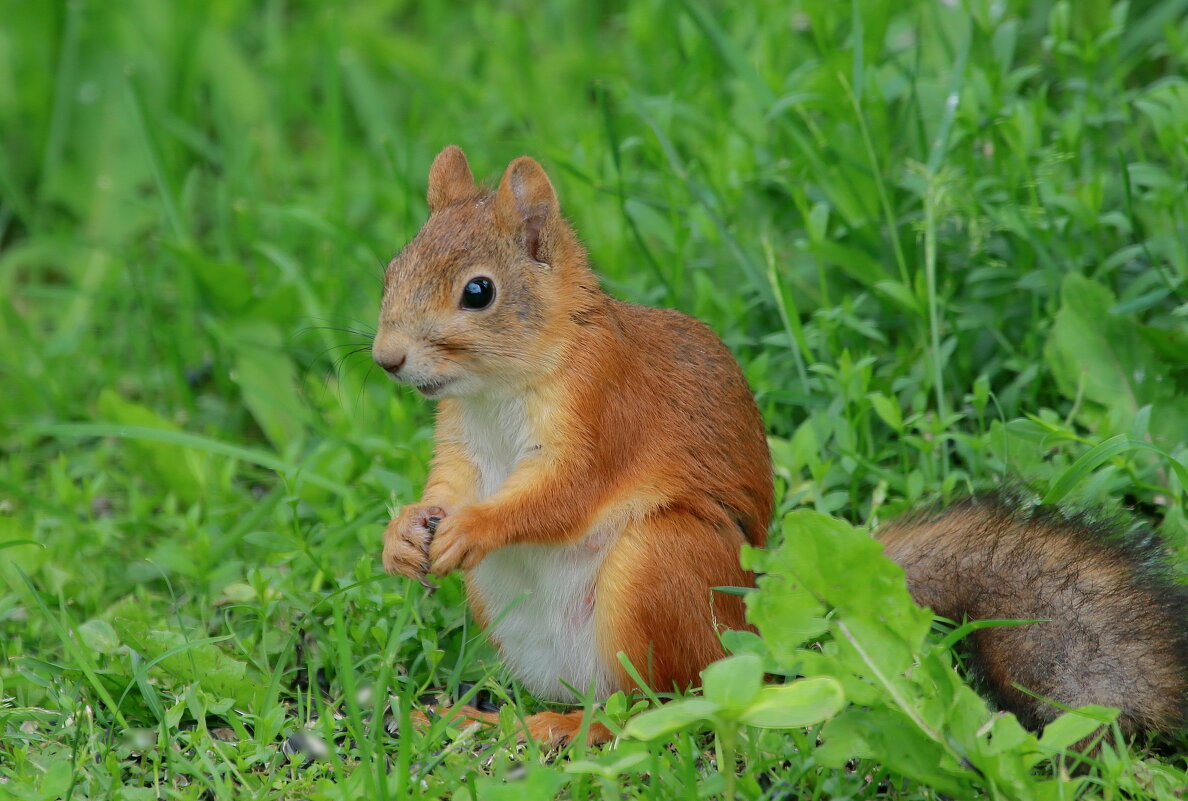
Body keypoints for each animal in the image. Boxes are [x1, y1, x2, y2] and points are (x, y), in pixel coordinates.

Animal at [370, 146, 1188, 746]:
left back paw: (564, 728)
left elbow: (561, 493)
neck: (501, 389)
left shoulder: (605, 411)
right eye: (392, 268)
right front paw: (405, 533)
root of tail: (757, 635)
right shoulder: (463, 443)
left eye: (479, 292)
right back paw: (476, 716)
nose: (386, 358)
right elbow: (447, 484)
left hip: (663, 566)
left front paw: (475, 526)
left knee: (657, 708)